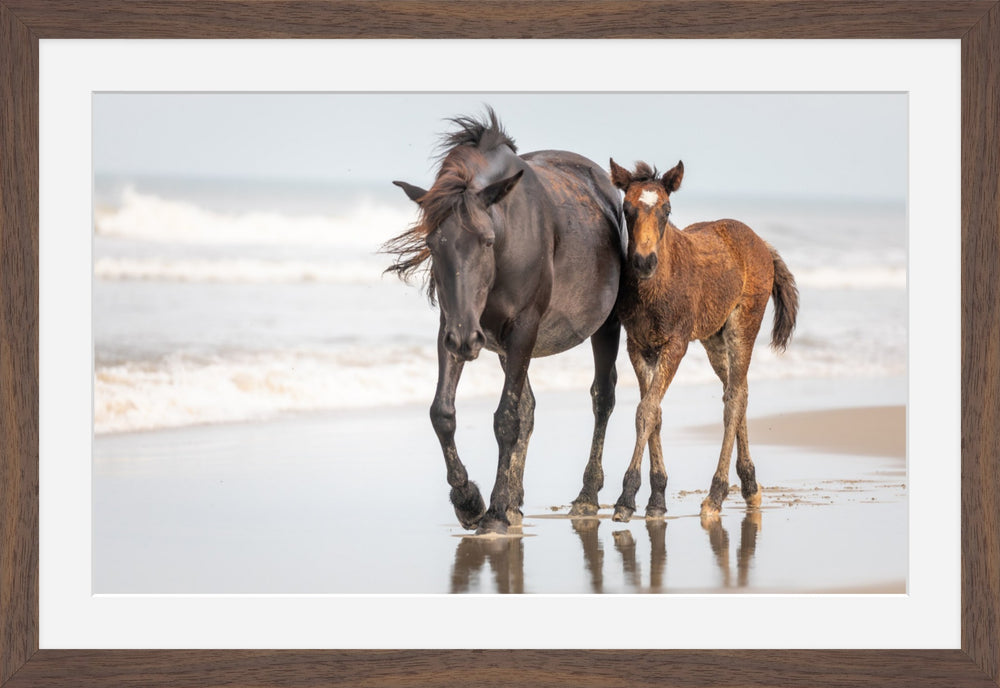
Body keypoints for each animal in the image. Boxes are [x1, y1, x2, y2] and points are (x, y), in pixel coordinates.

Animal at [383, 109, 625, 534]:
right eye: (432, 244)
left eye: (487, 240)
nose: (466, 341)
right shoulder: (453, 326)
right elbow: (443, 413)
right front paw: (469, 501)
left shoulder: (523, 328)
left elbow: (507, 419)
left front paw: (493, 511)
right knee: (530, 406)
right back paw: (515, 502)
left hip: (605, 326)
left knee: (603, 397)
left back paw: (585, 496)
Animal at [607, 158, 799, 522]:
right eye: (627, 209)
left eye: (667, 210)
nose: (643, 261)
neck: (656, 286)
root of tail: (762, 244)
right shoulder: (638, 346)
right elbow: (654, 413)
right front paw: (656, 498)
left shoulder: (676, 344)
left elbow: (646, 411)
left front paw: (626, 498)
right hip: (713, 338)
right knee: (739, 392)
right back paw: (749, 485)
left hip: (743, 325)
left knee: (734, 399)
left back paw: (716, 495)